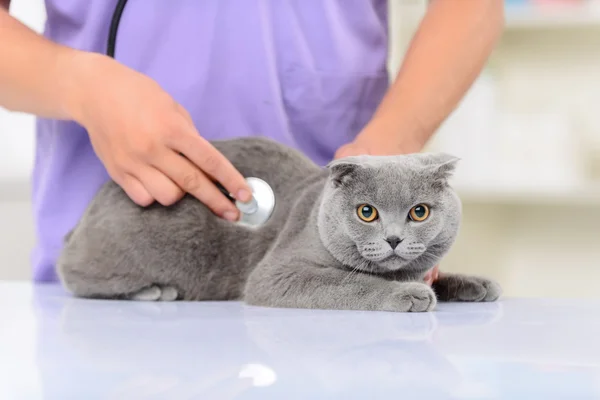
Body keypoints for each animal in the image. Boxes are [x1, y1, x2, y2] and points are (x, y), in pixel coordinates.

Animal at [58, 138, 502, 312]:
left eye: (419, 212)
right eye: (367, 212)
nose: (393, 238)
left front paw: (476, 284)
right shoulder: (278, 273)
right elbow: (351, 281)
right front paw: (408, 295)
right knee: (73, 274)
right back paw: (155, 291)